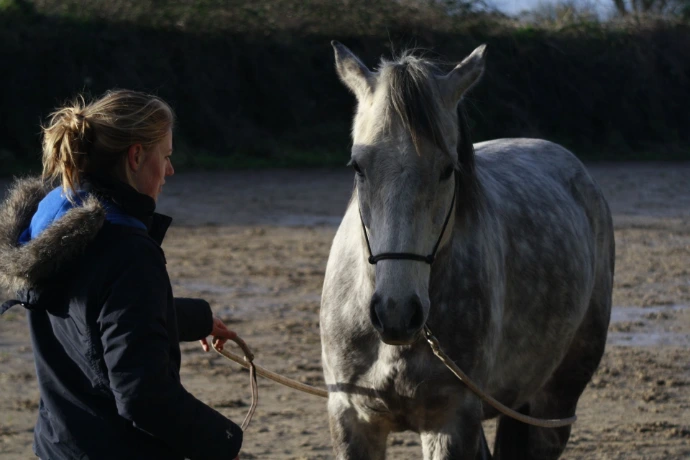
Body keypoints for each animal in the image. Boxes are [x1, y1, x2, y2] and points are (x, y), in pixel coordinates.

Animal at [319, 41, 614, 460]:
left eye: (447, 169)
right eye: (358, 166)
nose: (397, 311)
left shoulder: (452, 421)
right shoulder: (351, 419)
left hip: (553, 404)